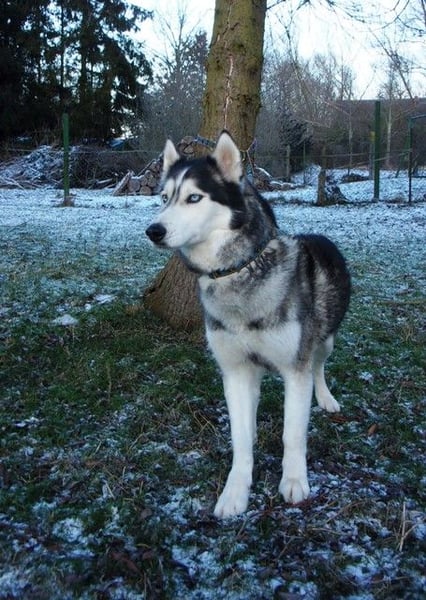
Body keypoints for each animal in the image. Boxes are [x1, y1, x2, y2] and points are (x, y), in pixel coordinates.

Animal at [146, 131, 351, 519]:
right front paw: (235, 491)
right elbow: (240, 438)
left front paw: (294, 481)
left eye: (194, 197)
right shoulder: (235, 371)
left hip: (324, 339)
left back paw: (326, 398)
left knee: (319, 366)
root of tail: (318, 235)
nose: (154, 230)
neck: (236, 272)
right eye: (164, 198)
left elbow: (292, 434)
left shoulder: (295, 369)